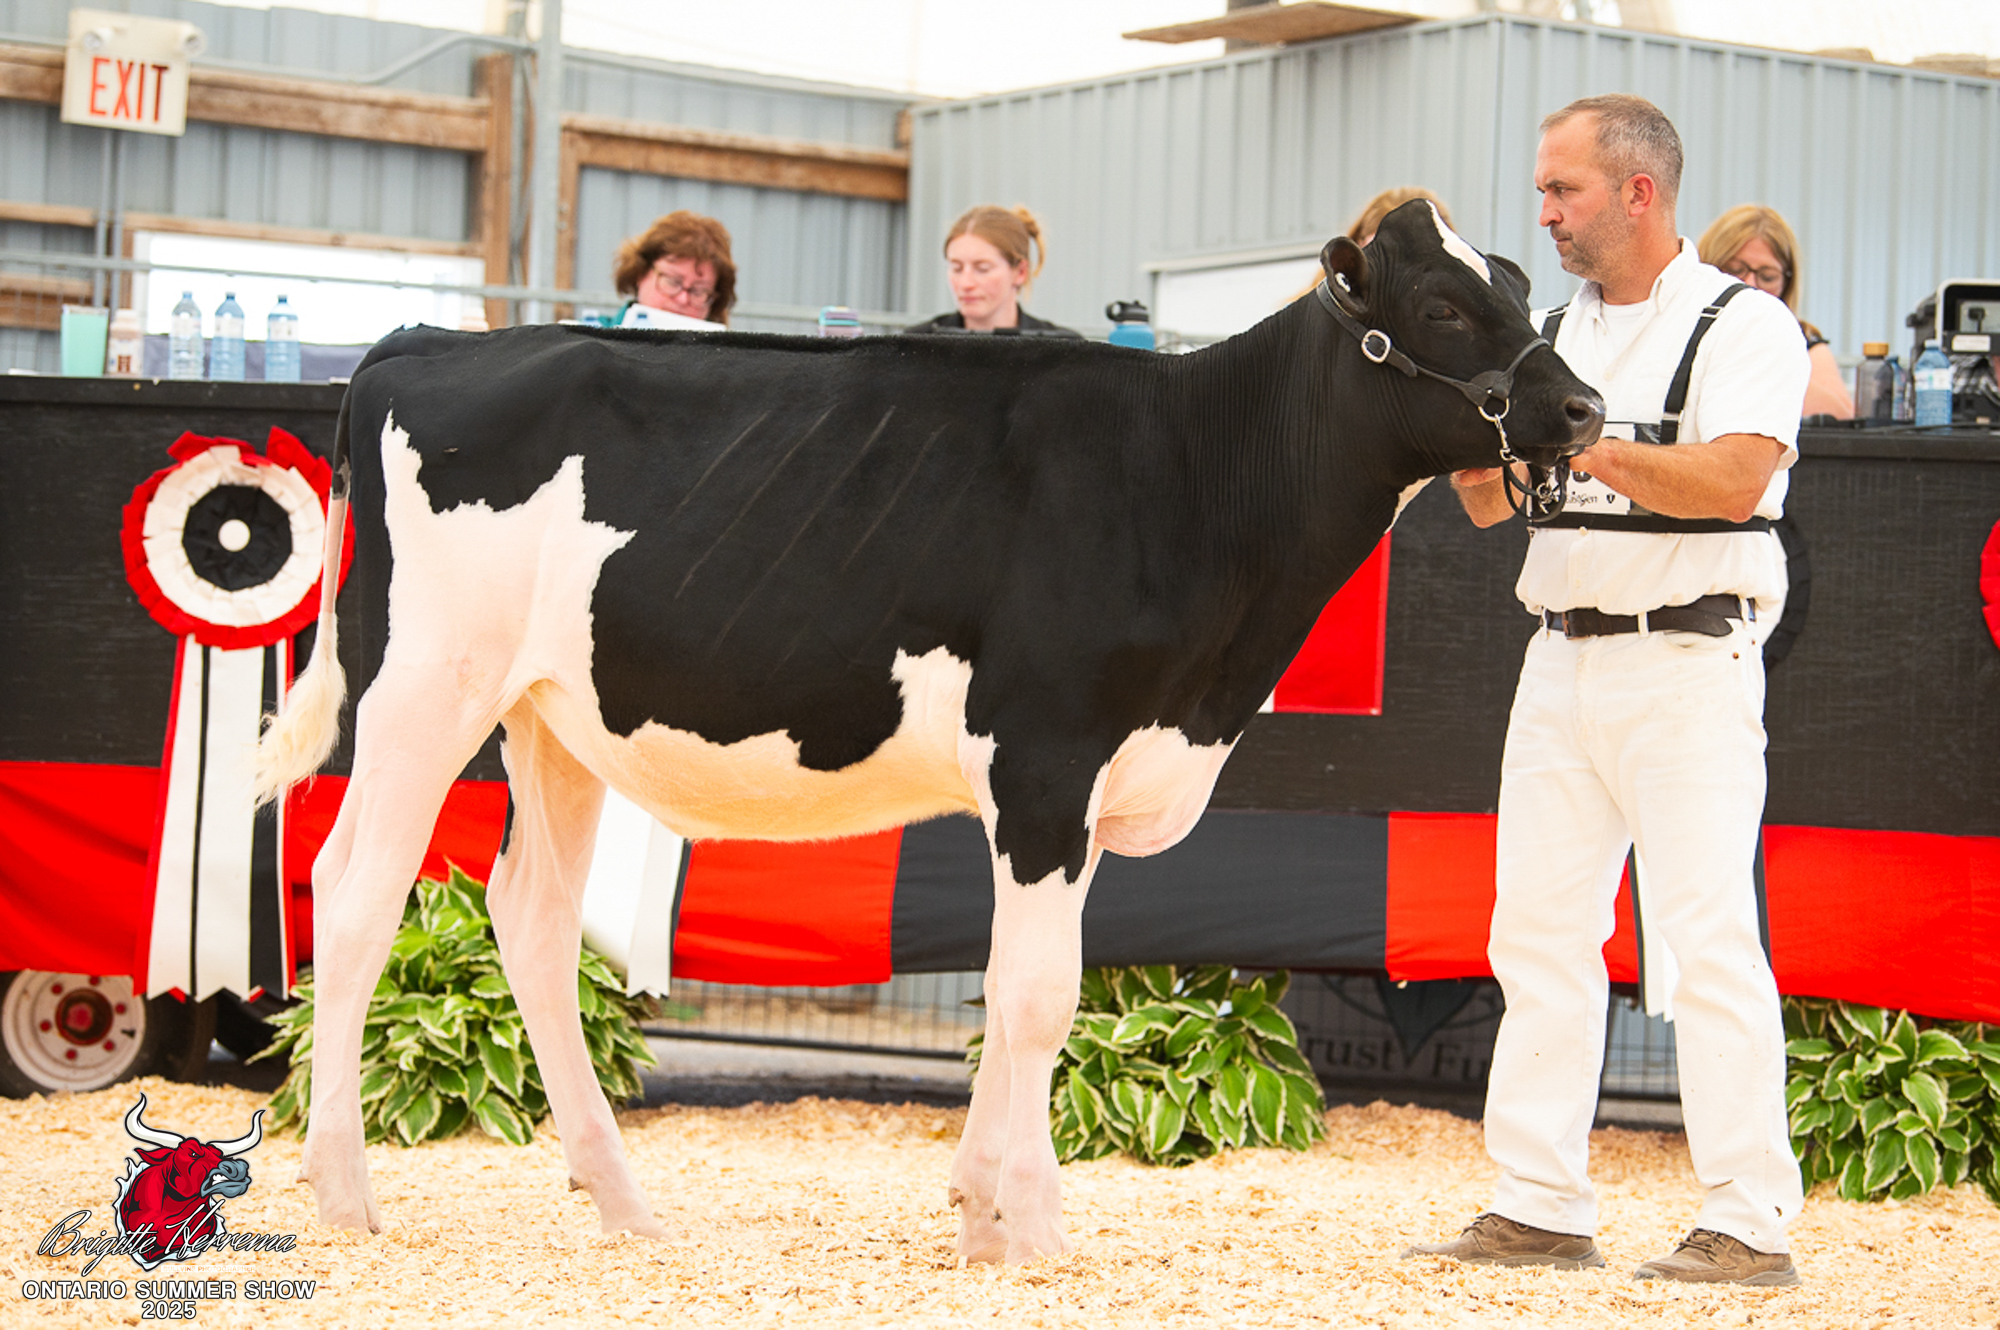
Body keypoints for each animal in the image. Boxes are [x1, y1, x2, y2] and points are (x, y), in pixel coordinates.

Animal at [256, 201, 1604, 1264]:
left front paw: (986, 1210)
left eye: (1521, 284)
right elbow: (1037, 998)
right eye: (1440, 304)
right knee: (358, 890)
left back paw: (622, 1201)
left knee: (530, 919)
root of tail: (423, 346)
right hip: (423, 684)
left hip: (550, 714)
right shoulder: (1045, 757)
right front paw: (1032, 1228)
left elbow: (1023, 987)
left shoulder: (1081, 787)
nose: (1582, 404)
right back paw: (344, 1191)